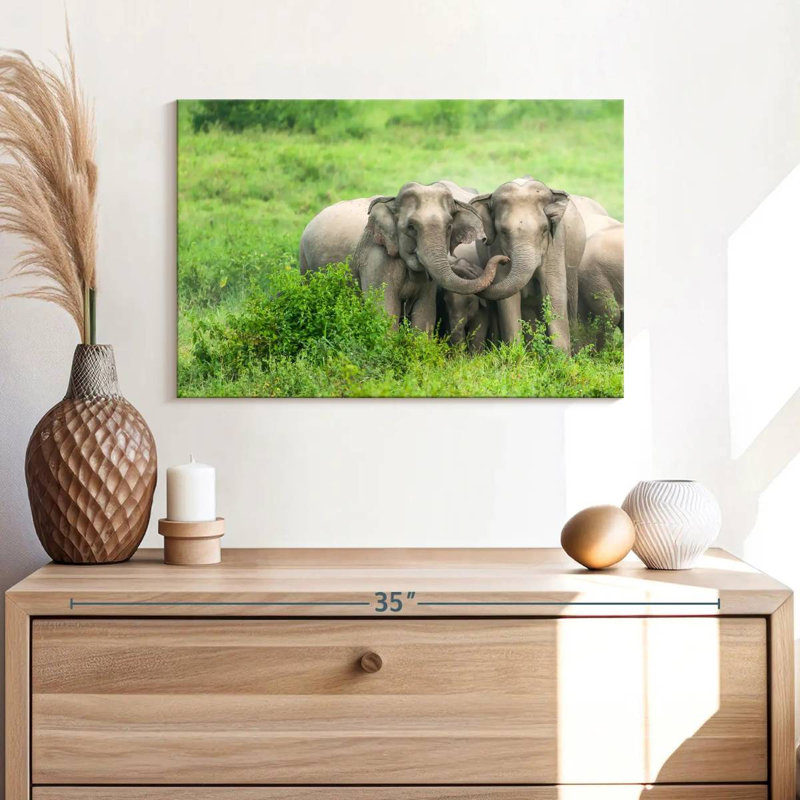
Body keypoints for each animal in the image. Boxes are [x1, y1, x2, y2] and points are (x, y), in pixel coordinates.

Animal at [299, 181, 498, 331]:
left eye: (449, 226)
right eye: (411, 227)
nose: (503, 259)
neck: (392, 202)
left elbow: (425, 314)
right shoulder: (376, 260)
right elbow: (384, 310)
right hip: (304, 262)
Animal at [469, 178, 588, 353]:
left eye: (545, 230)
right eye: (503, 232)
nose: (503, 260)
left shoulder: (555, 244)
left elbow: (554, 289)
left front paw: (560, 357)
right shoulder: (496, 246)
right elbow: (508, 298)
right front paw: (515, 355)